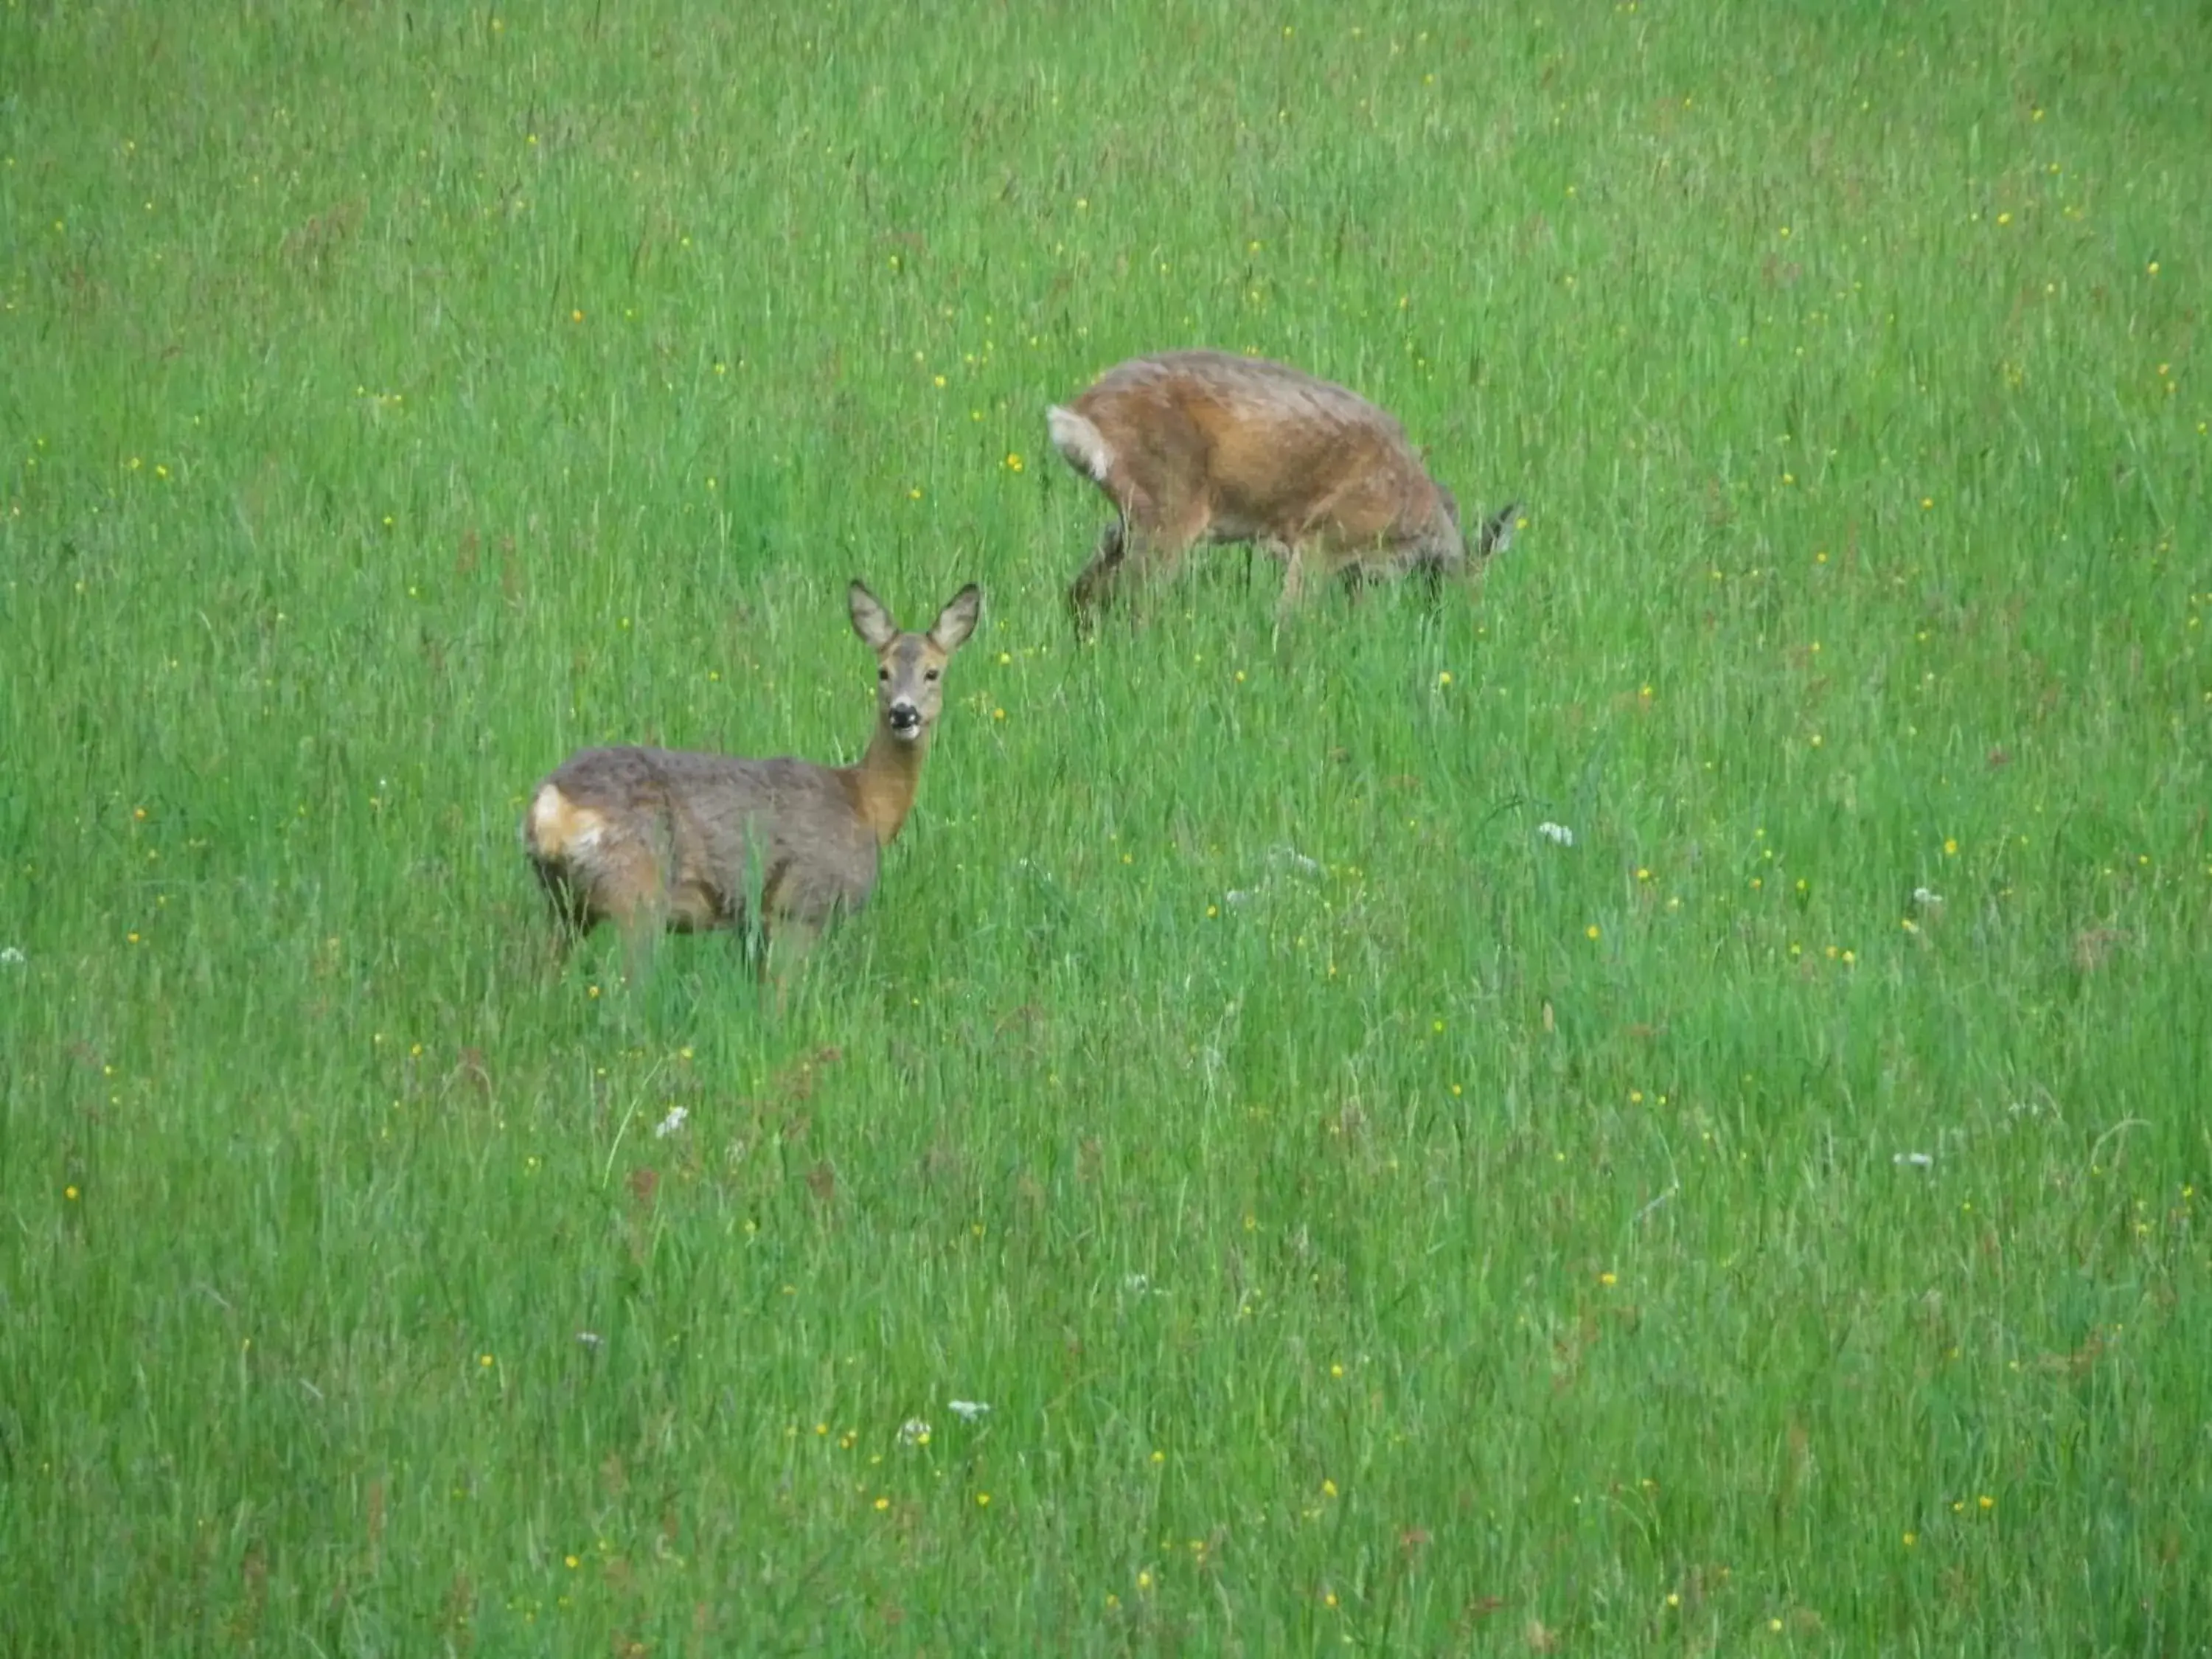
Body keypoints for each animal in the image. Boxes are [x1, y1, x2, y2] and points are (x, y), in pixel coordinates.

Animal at [522, 584, 982, 973]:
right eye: (882, 672)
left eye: (933, 673)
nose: (903, 714)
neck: (867, 804)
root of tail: (551, 805)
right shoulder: (800, 905)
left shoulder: (755, 926)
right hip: (636, 894)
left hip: (563, 902)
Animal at [1044, 352, 1513, 628]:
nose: (1469, 628)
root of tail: (1078, 414)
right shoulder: (1325, 538)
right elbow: (1289, 621)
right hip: (1171, 509)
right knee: (1132, 602)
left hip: (1132, 516)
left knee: (1082, 592)